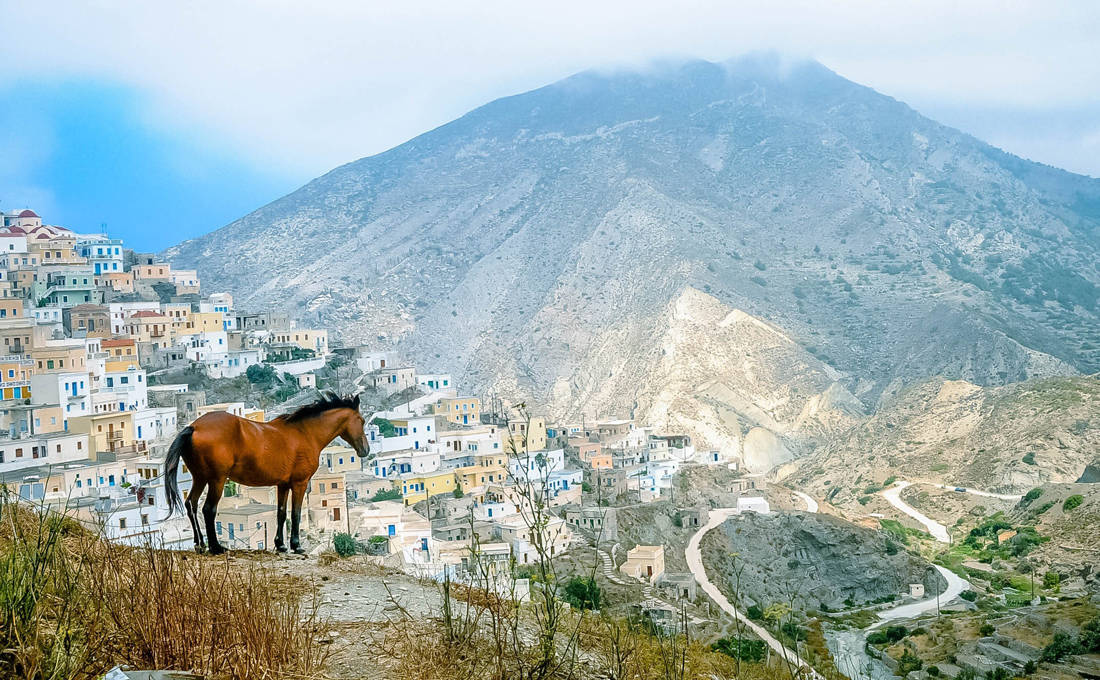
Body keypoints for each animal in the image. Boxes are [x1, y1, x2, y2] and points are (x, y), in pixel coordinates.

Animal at [163, 389, 369, 552]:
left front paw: (281, 544)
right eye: (362, 420)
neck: (305, 433)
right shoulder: (300, 483)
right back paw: (215, 547)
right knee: (208, 509)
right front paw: (296, 545)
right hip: (217, 480)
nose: (365, 450)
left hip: (200, 478)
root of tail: (193, 427)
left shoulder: (283, 485)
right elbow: (295, 513)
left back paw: (200, 544)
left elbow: (281, 513)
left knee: (191, 504)